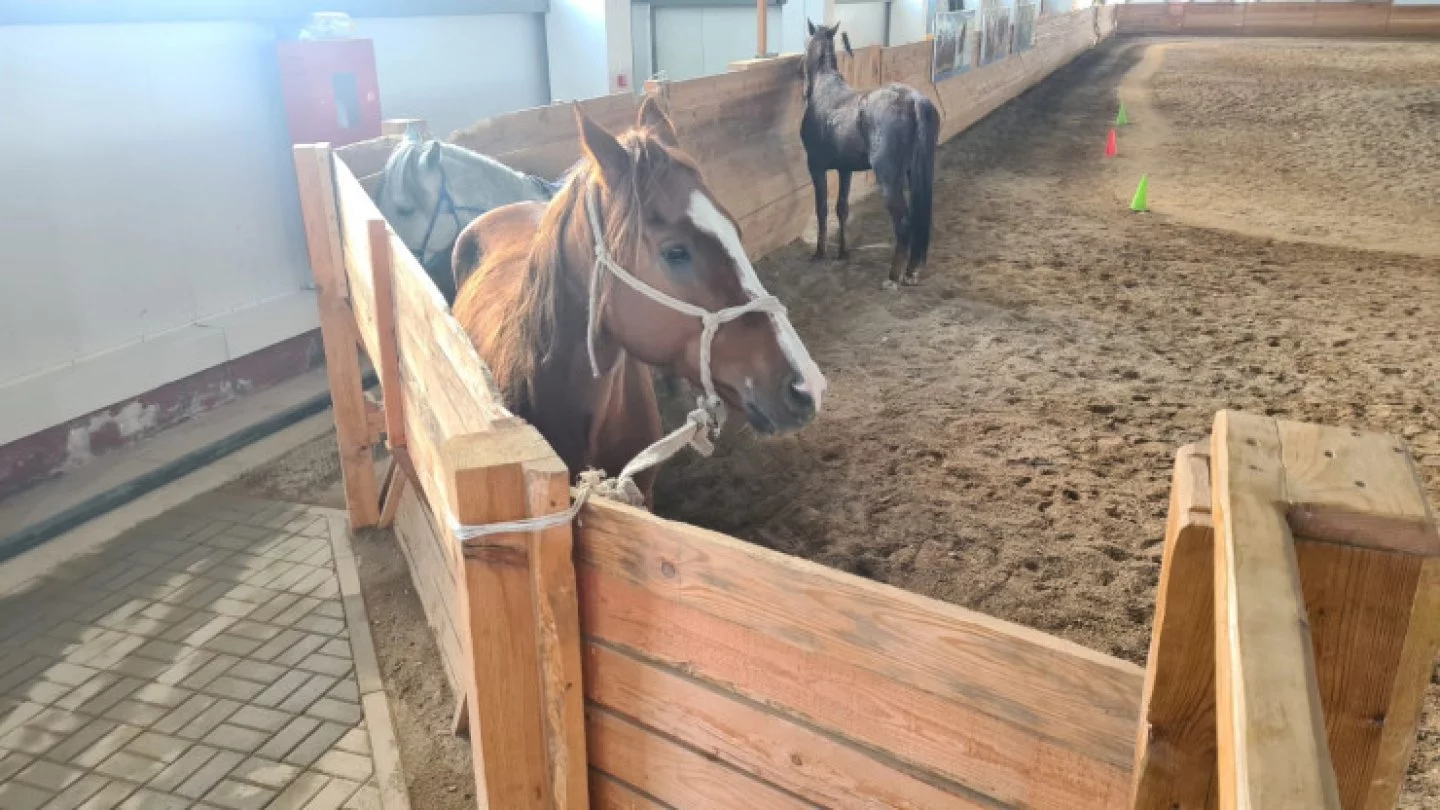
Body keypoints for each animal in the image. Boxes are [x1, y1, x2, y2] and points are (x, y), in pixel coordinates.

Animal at [806, 21, 938, 289]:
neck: (824, 89)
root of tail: (914, 100)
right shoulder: (844, 169)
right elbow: (842, 208)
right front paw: (843, 253)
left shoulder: (816, 167)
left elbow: (822, 208)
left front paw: (820, 252)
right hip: (917, 173)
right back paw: (912, 270)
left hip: (889, 179)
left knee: (903, 222)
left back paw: (893, 277)